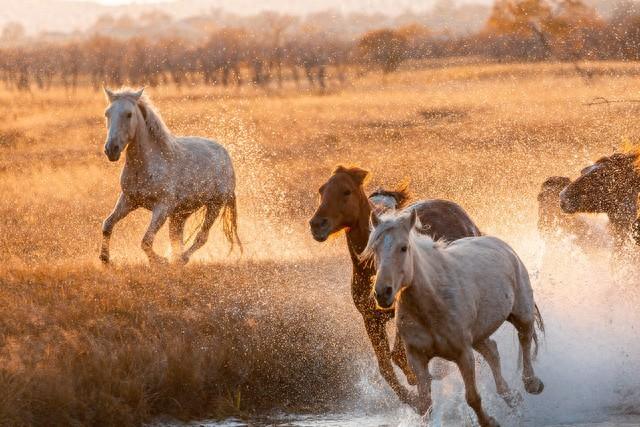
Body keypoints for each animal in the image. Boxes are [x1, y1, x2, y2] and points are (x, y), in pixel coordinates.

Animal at [100, 88, 240, 266]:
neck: (147, 165)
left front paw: (159, 262)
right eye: (107, 113)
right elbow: (107, 225)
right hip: (181, 213)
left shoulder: (162, 207)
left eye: (129, 114)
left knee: (201, 237)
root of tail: (225, 153)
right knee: (176, 238)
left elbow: (146, 240)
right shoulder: (128, 200)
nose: (111, 149)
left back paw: (181, 259)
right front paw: (105, 259)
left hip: (215, 204)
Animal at [308, 165, 480, 412]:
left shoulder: (403, 310)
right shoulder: (370, 318)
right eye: (322, 190)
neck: (372, 269)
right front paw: (414, 398)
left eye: (346, 191)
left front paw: (419, 382)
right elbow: (386, 366)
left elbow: (398, 355)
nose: (317, 225)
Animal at [362, 211, 544, 427]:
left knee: (525, 337)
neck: (432, 303)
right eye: (374, 249)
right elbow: (425, 404)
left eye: (403, 247)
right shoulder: (416, 357)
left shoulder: (463, 354)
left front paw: (489, 422)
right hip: (478, 336)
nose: (382, 293)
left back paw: (532, 383)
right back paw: (511, 396)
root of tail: (500, 244)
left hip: (521, 312)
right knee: (492, 351)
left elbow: (472, 397)